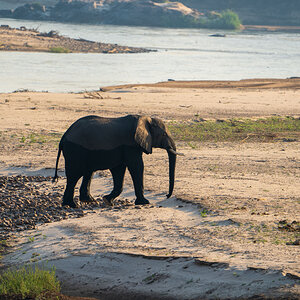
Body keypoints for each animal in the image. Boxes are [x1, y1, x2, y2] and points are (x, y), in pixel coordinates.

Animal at [52, 113, 180, 207]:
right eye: (164, 134)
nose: (166, 196)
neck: (145, 119)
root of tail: (64, 136)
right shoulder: (130, 145)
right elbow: (136, 166)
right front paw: (144, 202)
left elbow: (119, 170)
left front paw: (107, 200)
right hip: (75, 150)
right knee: (74, 175)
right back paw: (72, 205)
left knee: (88, 173)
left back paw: (89, 201)